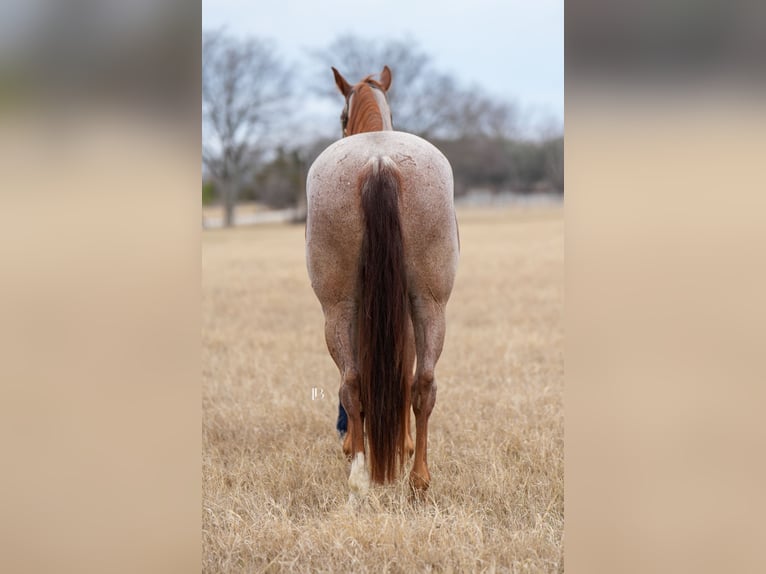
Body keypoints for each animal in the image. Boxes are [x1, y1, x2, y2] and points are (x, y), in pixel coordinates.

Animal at [305, 66, 459, 499]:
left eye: (342, 117)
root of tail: (379, 161)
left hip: (340, 307)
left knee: (353, 382)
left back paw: (364, 471)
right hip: (428, 303)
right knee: (421, 382)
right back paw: (417, 478)